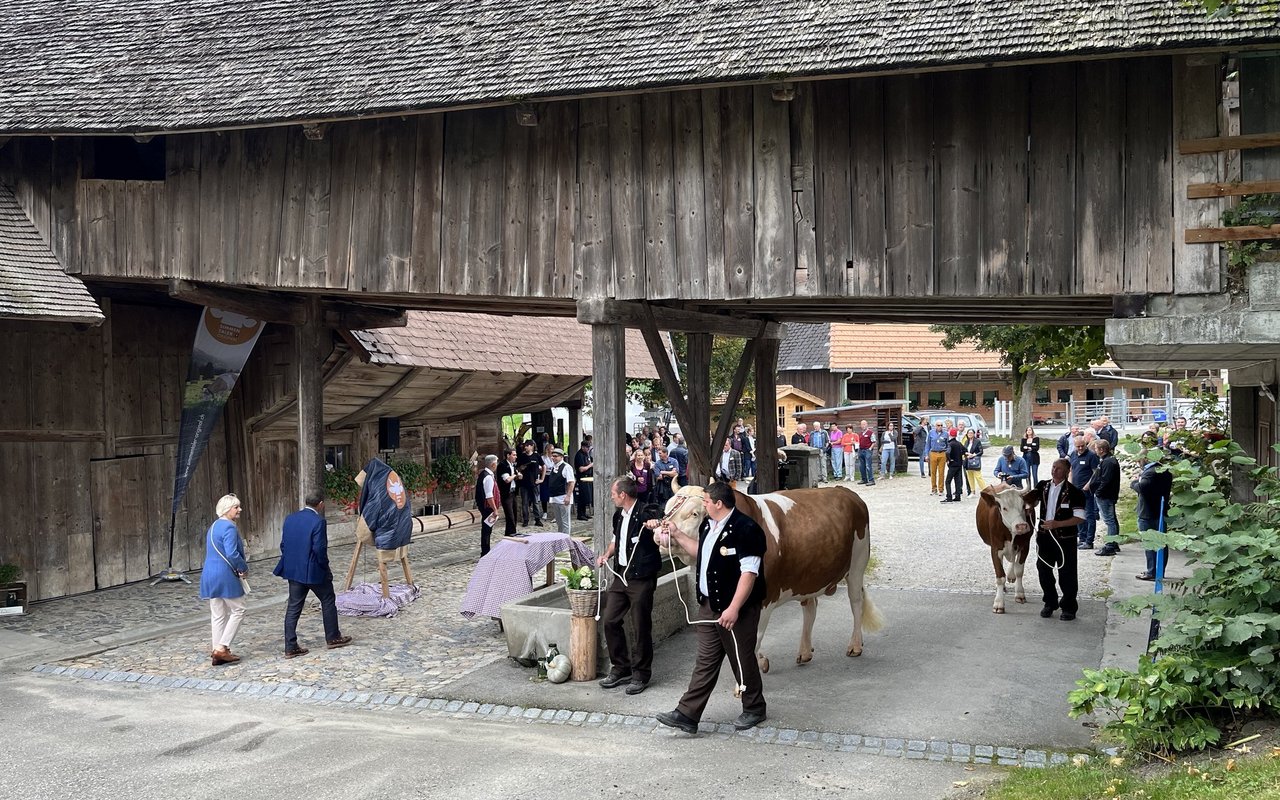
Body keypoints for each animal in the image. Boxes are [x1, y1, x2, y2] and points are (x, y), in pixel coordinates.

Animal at [660, 481, 880, 675]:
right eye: (667, 509)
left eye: (694, 513)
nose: (660, 531)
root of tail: (846, 492)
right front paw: (759, 663)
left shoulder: (764, 599)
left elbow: (753, 638)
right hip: (808, 573)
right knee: (810, 607)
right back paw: (805, 652)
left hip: (857, 563)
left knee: (856, 601)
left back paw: (855, 645)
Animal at [977, 481, 1039, 611]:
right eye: (1004, 508)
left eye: (1023, 506)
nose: (1021, 526)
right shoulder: (995, 548)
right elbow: (1000, 576)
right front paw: (999, 602)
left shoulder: (1025, 546)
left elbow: (1019, 571)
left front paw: (1020, 594)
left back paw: (1011, 575)